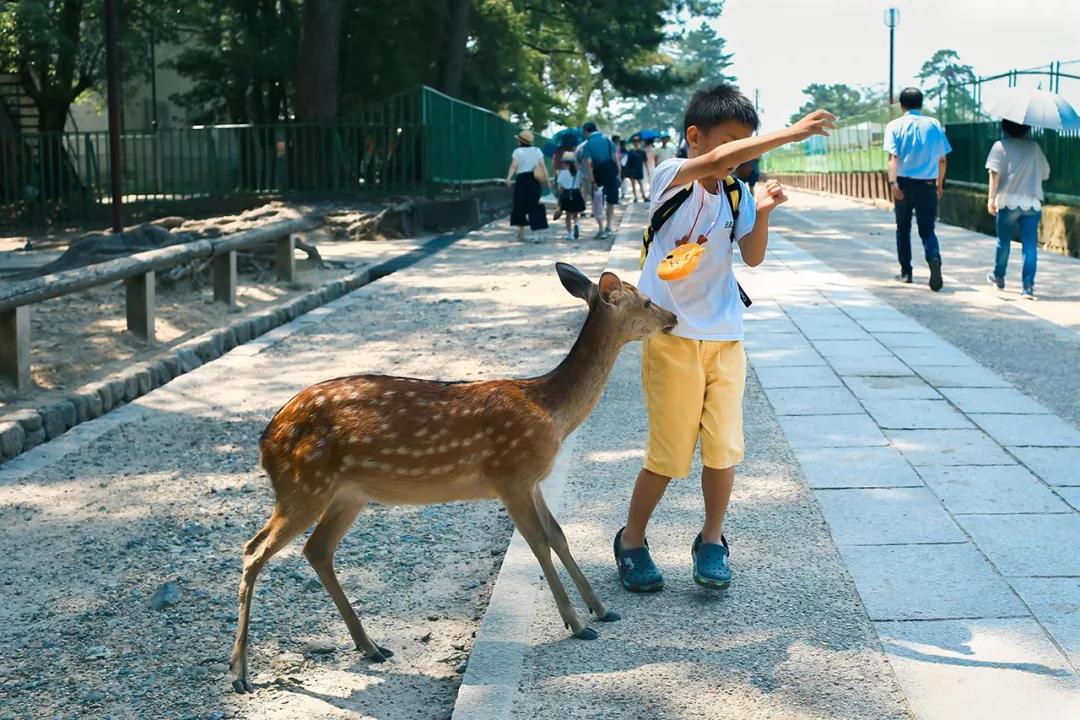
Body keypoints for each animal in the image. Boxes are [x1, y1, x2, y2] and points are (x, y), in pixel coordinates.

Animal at [226, 260, 673, 690]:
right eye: (646, 300)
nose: (671, 318)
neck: (552, 412)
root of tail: (266, 439)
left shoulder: (532, 480)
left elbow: (558, 535)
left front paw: (601, 610)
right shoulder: (510, 474)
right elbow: (539, 544)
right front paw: (578, 624)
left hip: (347, 493)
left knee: (316, 549)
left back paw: (371, 646)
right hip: (303, 485)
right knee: (253, 549)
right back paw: (240, 673)